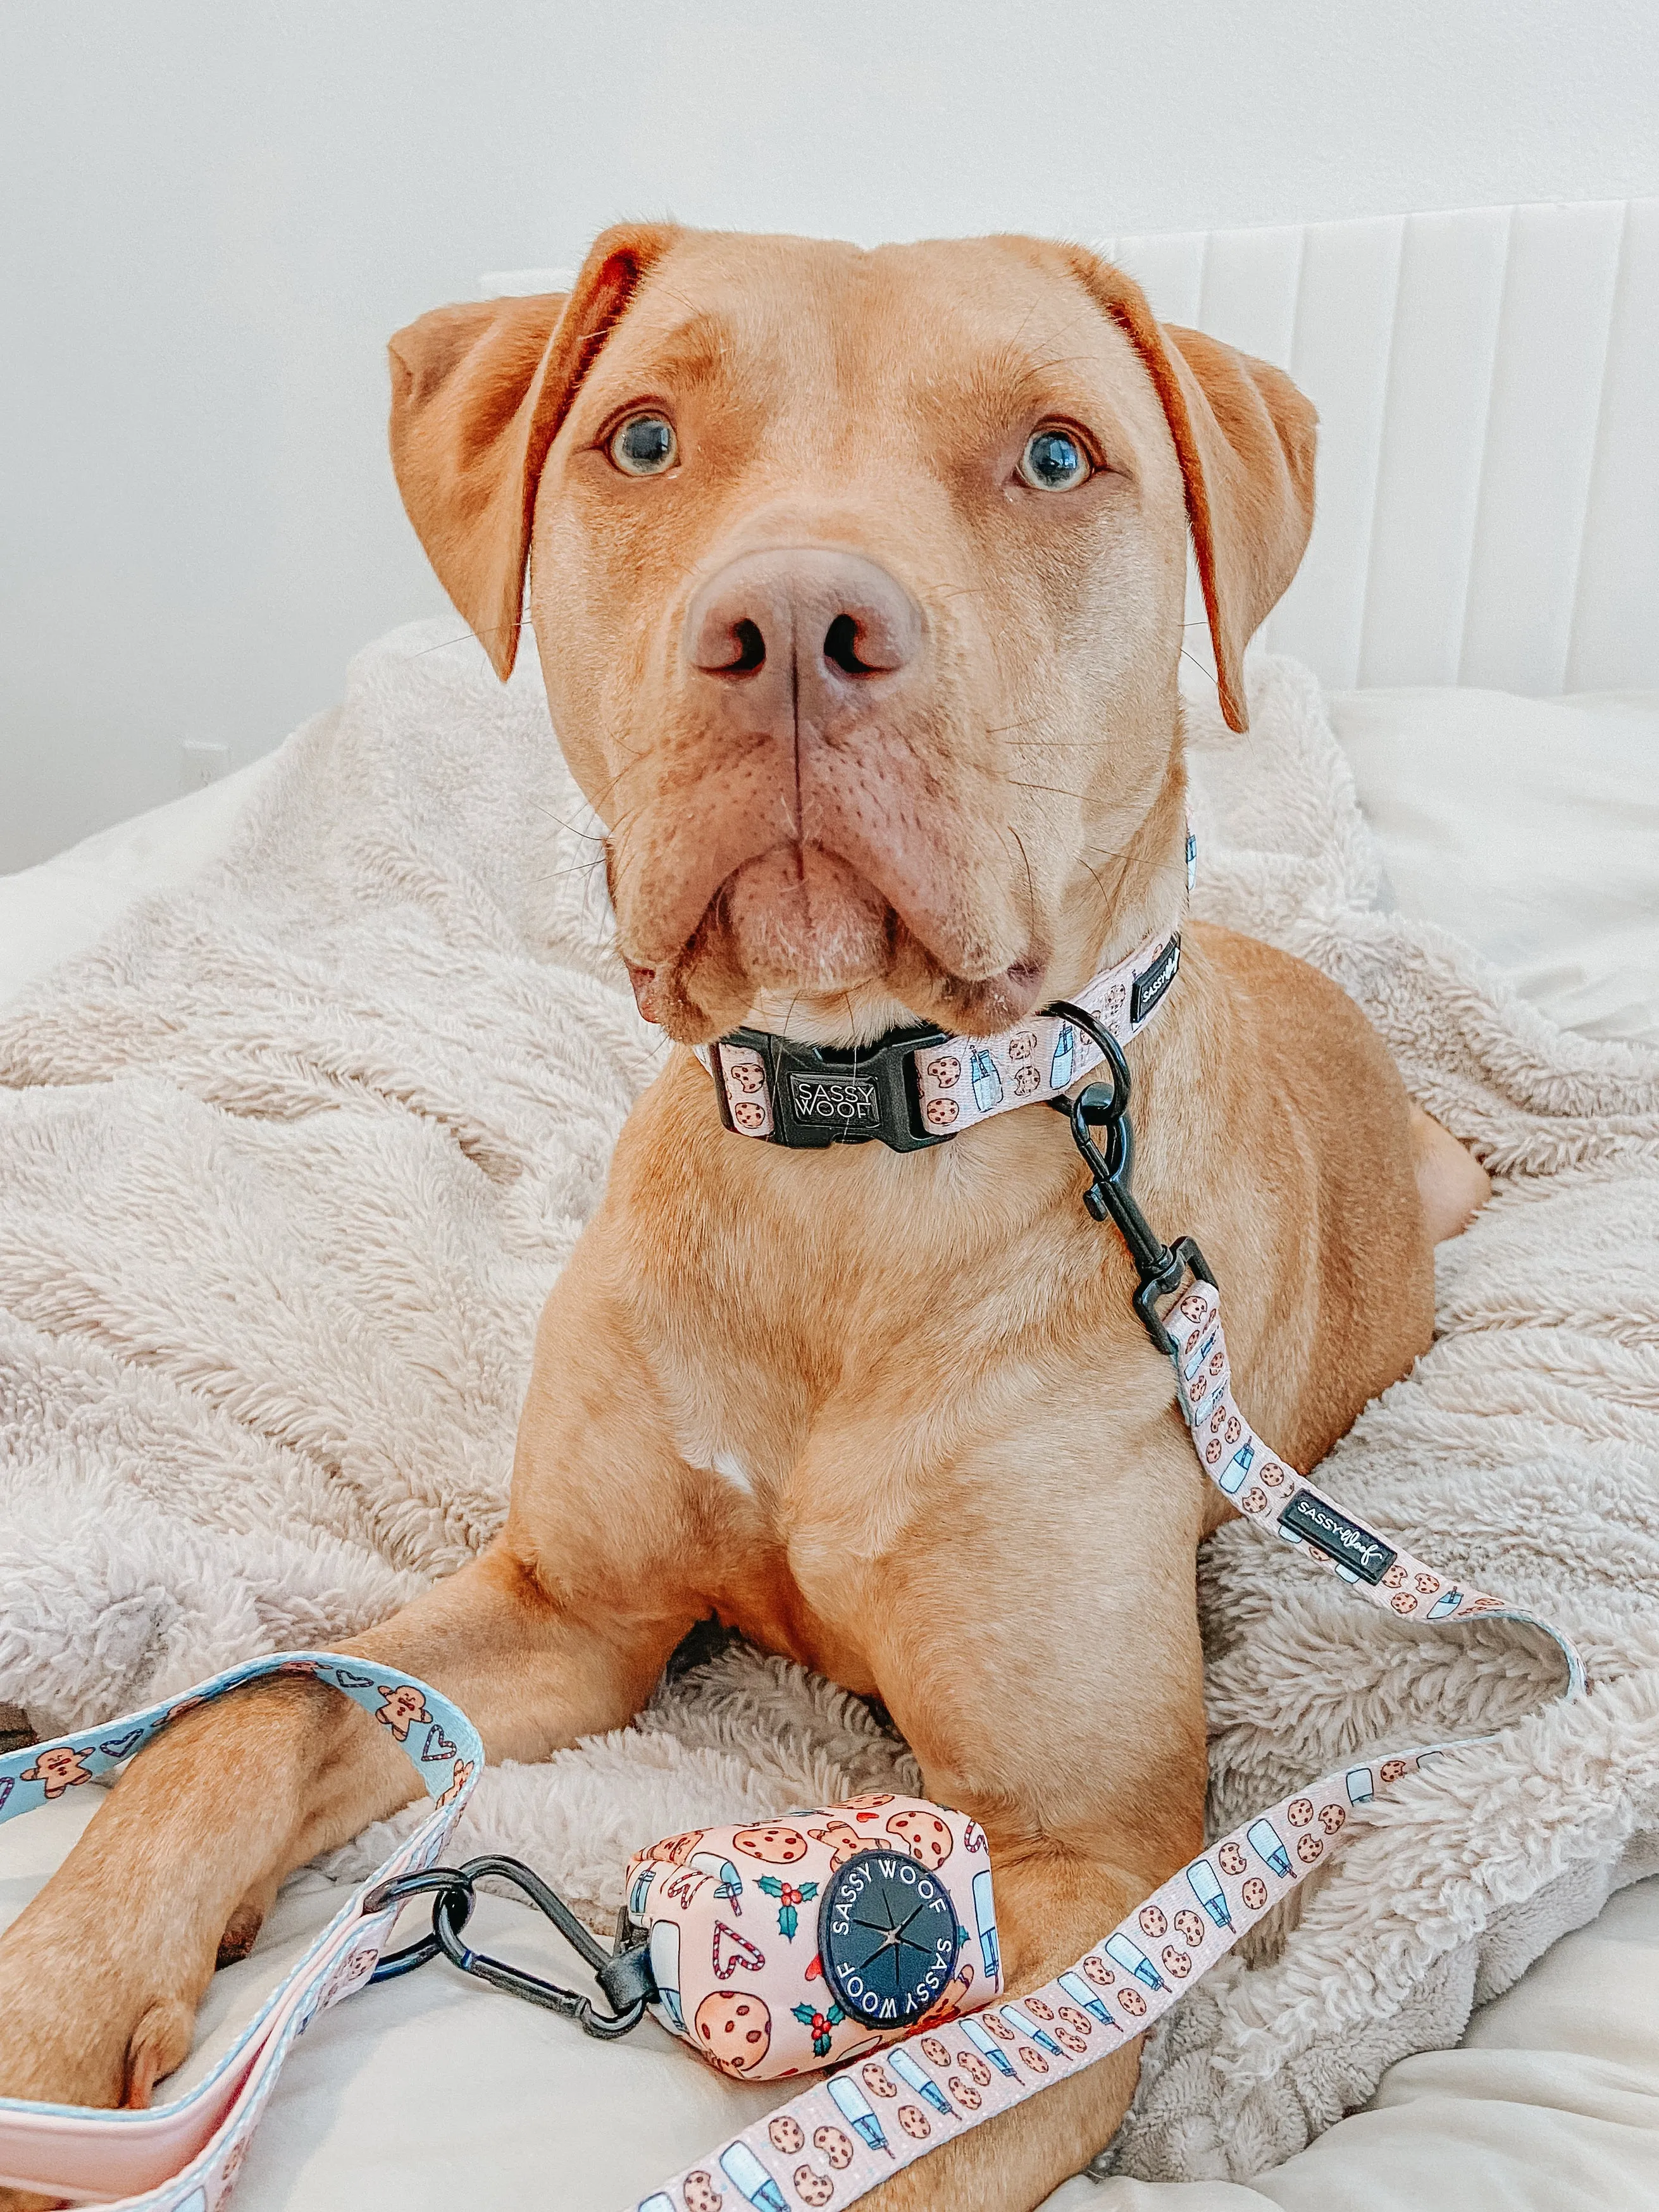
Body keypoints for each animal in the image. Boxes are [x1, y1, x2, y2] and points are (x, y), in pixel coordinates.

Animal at [0, 228, 1486, 2212]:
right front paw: (60, 2009)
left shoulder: (1089, 1868)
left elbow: (897, 2137)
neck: (849, 1159)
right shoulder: (564, 1613)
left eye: (1053, 456)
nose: (790, 626)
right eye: (639, 436)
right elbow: (255, 1706)